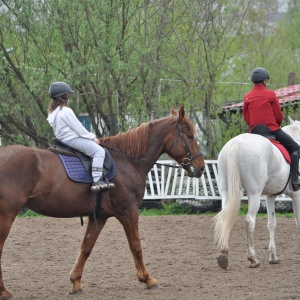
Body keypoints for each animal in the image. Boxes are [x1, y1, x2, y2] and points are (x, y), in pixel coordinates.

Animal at [0, 106, 204, 298]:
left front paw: (76, 283)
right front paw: (147, 279)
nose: (201, 167)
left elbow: (86, 248)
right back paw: (4, 291)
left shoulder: (99, 216)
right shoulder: (129, 212)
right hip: (6, 216)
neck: (127, 161)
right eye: (190, 135)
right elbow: (136, 246)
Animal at [214, 118, 300, 270]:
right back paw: (253, 258)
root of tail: (236, 143)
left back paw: (223, 255)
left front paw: (273, 257)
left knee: (224, 217)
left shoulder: (270, 196)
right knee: (250, 221)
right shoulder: (297, 195)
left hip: (225, 192)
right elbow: (298, 222)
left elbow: (271, 223)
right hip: (254, 194)